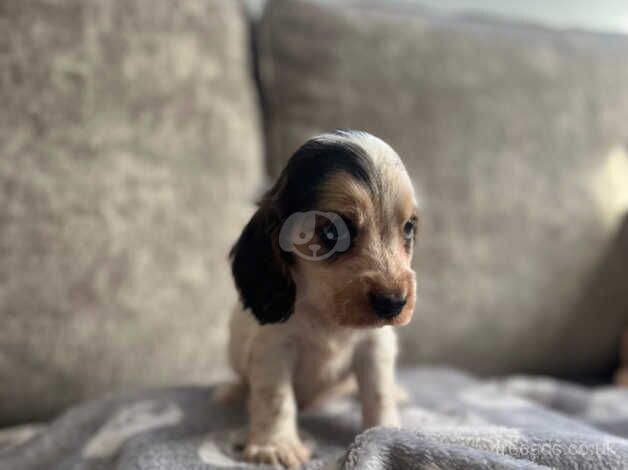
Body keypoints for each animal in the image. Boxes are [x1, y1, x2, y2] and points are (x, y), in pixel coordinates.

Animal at [227, 130, 418, 468]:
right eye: (332, 233)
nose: (395, 303)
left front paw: (386, 430)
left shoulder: (375, 347)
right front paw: (274, 446)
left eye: (409, 228)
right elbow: (275, 397)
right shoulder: (273, 348)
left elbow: (378, 391)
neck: (327, 314)